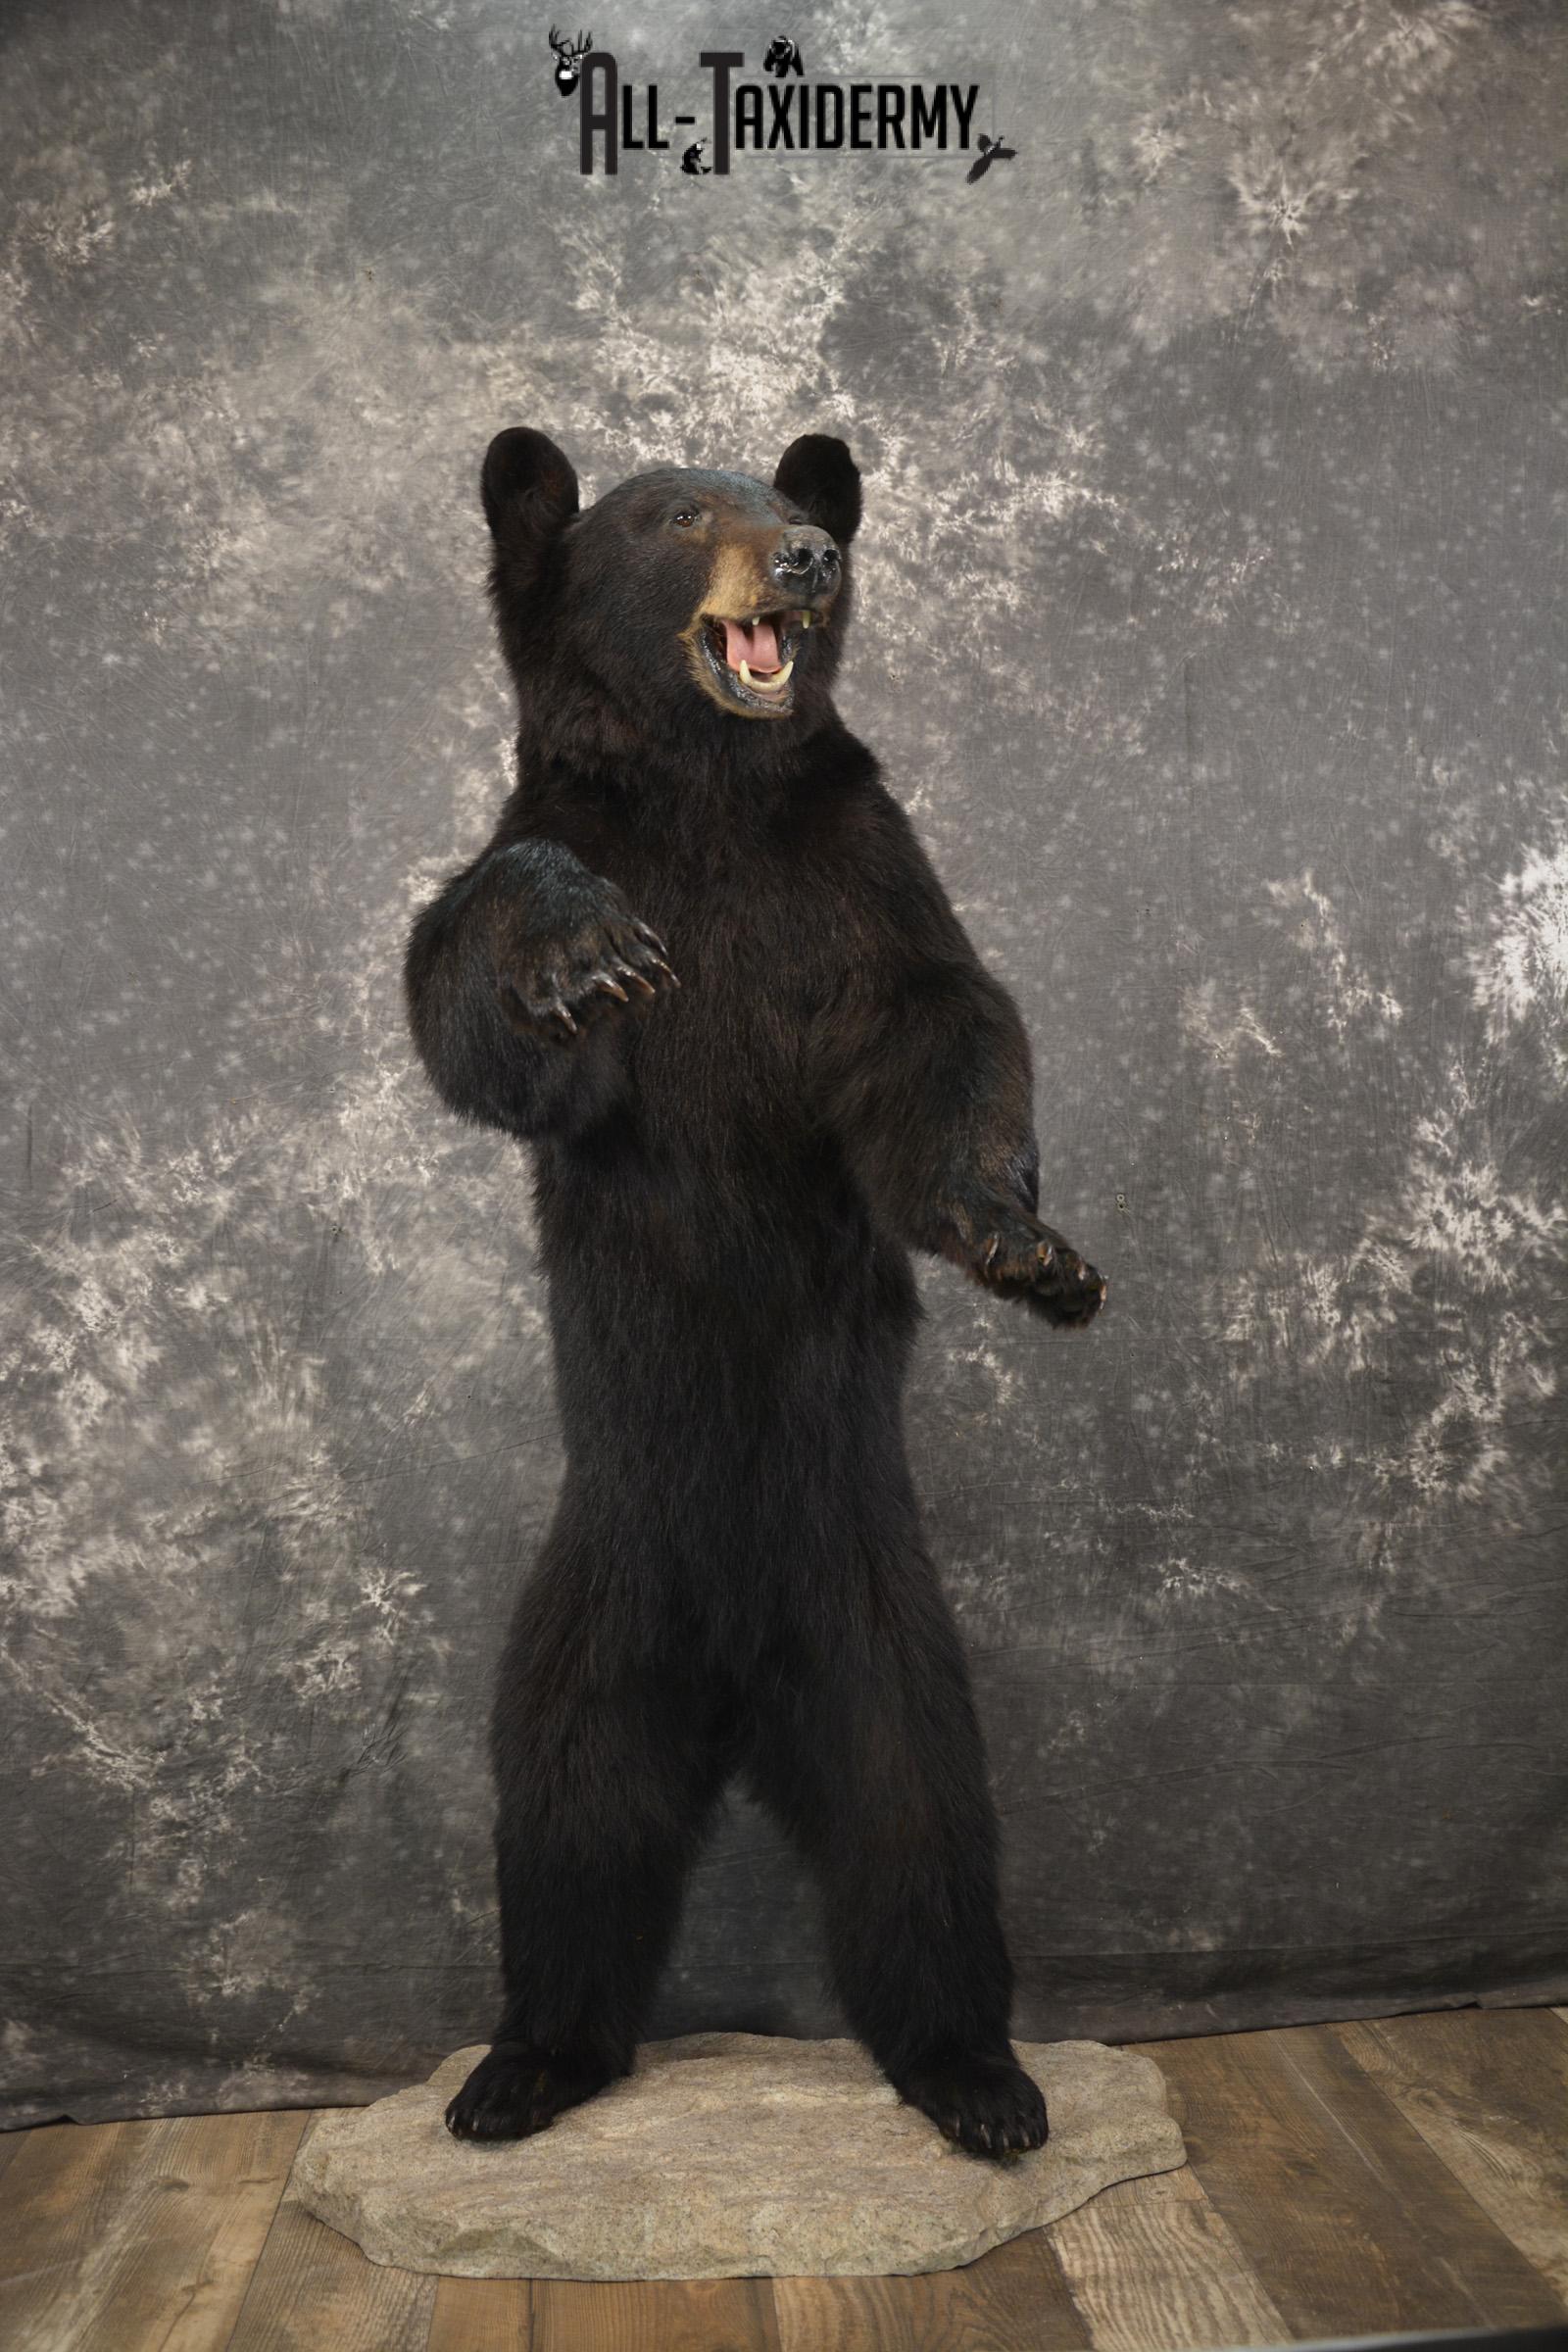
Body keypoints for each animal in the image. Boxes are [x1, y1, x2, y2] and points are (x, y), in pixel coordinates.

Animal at [403, 427, 1107, 2159]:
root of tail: (730, 1685)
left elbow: (945, 1030)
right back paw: (520, 2070)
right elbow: (475, 1000)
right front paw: (579, 948)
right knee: (568, 1822)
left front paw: (1024, 1246)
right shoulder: (568, 840)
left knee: (922, 1832)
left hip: (883, 1633)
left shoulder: (862, 877)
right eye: (673, 516)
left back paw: (978, 2078)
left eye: (793, 500)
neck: (709, 797)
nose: (809, 557)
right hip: (587, 1619)